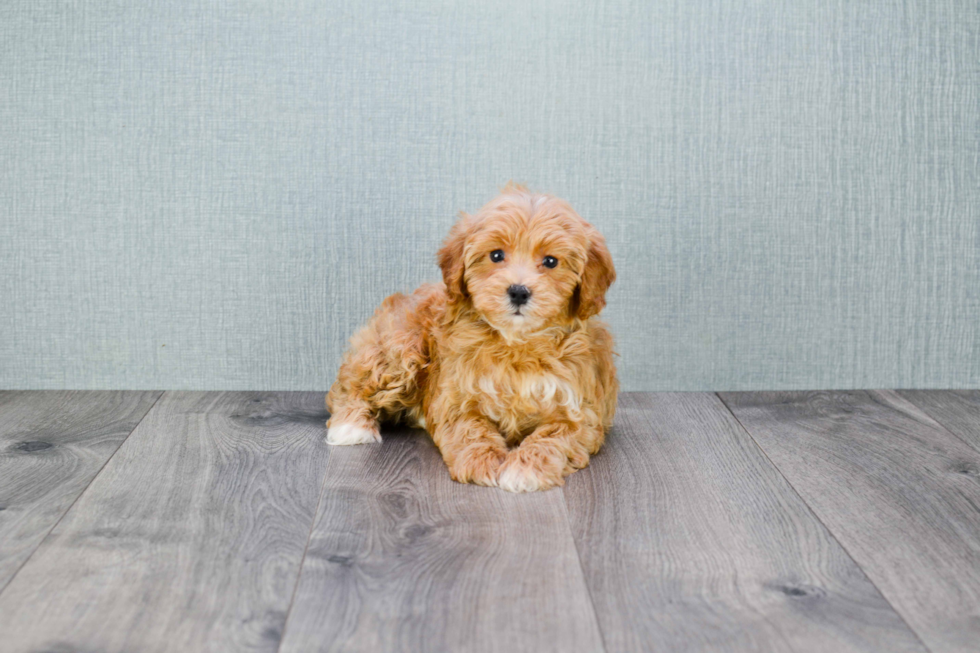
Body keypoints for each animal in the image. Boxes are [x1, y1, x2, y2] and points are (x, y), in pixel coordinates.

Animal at [326, 182, 616, 488]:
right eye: (496, 255)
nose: (518, 291)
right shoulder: (458, 397)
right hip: (399, 346)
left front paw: (524, 470)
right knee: (353, 384)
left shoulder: (580, 411)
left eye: (551, 261)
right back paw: (350, 426)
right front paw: (482, 462)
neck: (516, 344)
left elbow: (554, 438)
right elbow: (470, 428)